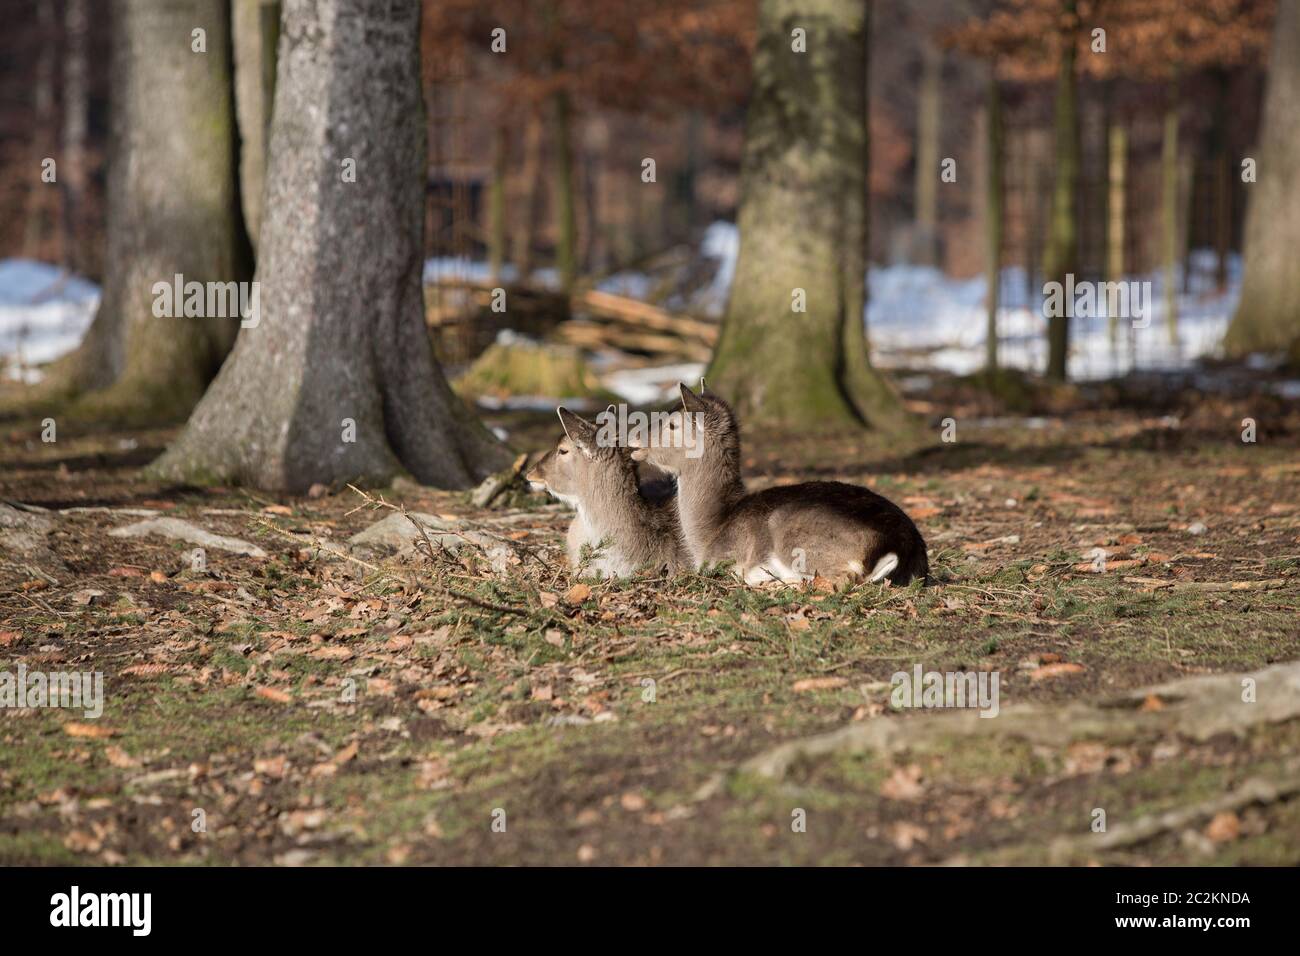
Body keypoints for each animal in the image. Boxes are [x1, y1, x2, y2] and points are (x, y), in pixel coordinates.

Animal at [628, 384, 929, 587]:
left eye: (672, 424)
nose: (633, 437)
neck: (710, 532)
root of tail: (898, 547)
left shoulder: (723, 559)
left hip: (790, 532)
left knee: (840, 580)